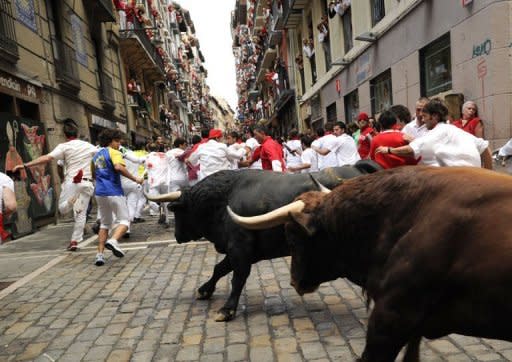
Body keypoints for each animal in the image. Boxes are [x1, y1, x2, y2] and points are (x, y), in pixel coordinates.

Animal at [146, 163, 378, 320]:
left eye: (179, 212)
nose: (177, 236)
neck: (224, 198)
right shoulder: (238, 250)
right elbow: (219, 269)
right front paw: (205, 290)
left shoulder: (240, 248)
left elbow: (237, 277)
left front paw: (227, 309)